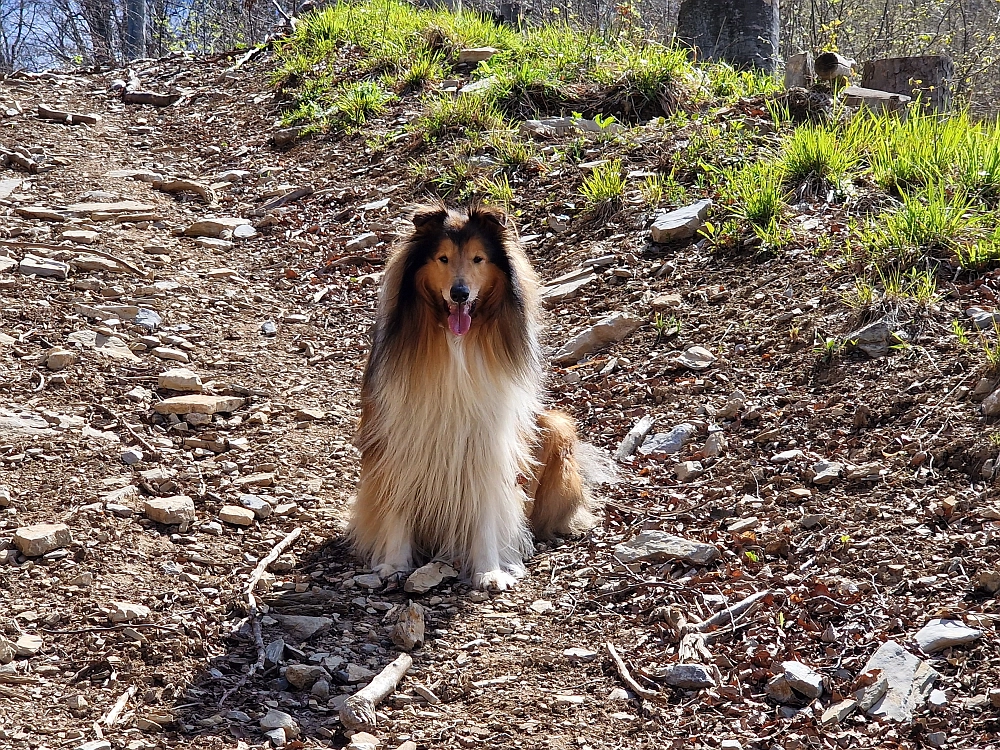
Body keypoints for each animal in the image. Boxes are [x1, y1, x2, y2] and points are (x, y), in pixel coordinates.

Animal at [350, 203, 600, 592]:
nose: (460, 294)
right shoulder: (398, 434)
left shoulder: (487, 443)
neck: (456, 343)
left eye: (478, 258)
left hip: (555, 427)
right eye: (442, 258)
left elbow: (486, 508)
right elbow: (398, 503)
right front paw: (394, 563)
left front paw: (490, 570)